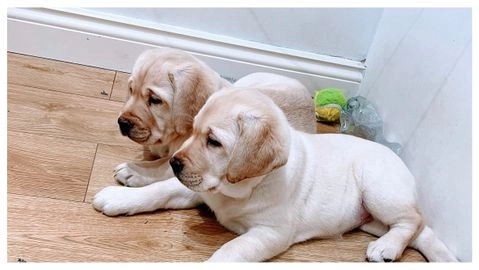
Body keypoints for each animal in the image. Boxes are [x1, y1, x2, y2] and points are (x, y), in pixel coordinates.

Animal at [94, 87, 458, 262]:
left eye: (214, 142)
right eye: (194, 131)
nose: (175, 163)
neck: (240, 189)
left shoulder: (271, 234)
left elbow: (231, 251)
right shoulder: (198, 189)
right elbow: (161, 191)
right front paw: (118, 198)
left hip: (379, 190)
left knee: (413, 220)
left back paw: (386, 248)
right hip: (372, 216)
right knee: (421, 231)